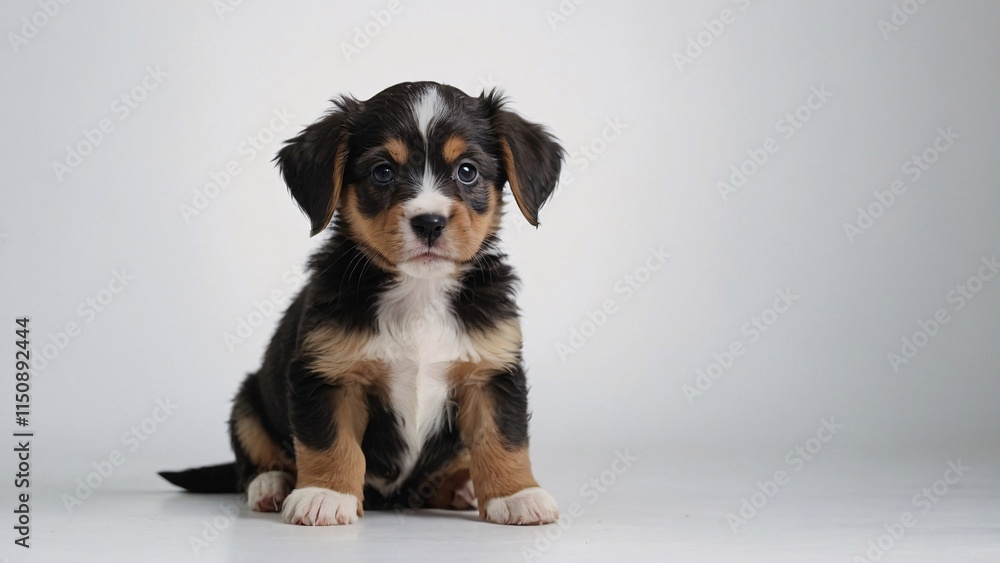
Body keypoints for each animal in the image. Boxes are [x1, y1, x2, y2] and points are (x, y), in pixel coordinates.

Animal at [160, 81, 564, 526]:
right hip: (247, 402)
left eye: (467, 170)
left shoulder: (491, 373)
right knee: (251, 464)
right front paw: (325, 494)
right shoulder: (329, 375)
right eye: (382, 171)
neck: (420, 292)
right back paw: (272, 485)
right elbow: (330, 443)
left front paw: (516, 495)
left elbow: (503, 439)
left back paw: (461, 487)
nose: (429, 223)